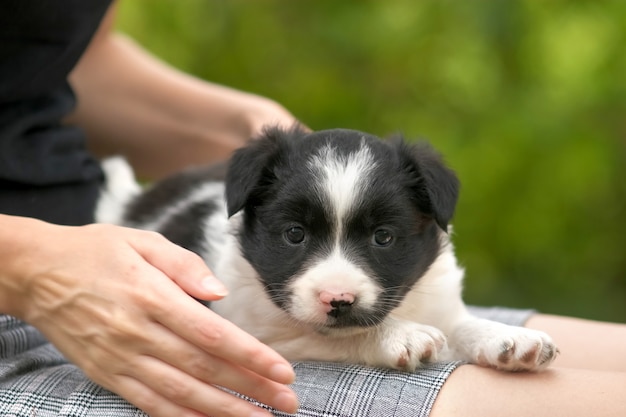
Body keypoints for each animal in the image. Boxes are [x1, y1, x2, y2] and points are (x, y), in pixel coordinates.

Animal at [97, 127, 556, 370]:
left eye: (383, 237)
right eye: (294, 234)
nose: (338, 299)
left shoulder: (440, 303)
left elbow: (462, 324)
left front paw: (509, 337)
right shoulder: (256, 334)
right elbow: (334, 338)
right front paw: (400, 335)